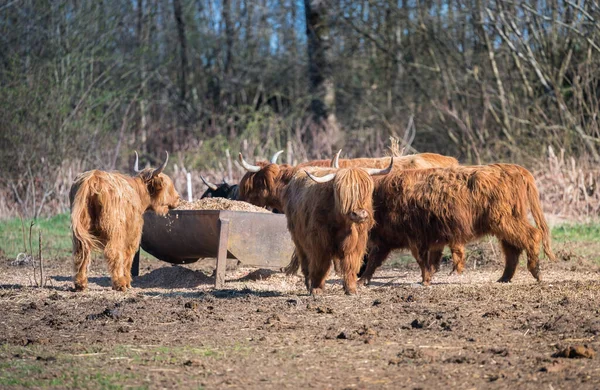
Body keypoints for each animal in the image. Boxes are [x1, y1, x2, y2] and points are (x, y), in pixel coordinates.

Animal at [69, 152, 179, 292]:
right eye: (168, 185)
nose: (178, 198)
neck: (138, 192)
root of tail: (94, 177)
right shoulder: (133, 233)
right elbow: (128, 256)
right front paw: (127, 281)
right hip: (115, 229)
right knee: (113, 252)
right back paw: (120, 283)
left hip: (82, 225)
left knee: (81, 252)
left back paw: (80, 284)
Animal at [284, 157, 396, 294]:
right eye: (343, 193)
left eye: (366, 190)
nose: (359, 214)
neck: (343, 224)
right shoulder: (319, 242)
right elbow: (319, 264)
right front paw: (316, 288)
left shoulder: (356, 241)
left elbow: (350, 263)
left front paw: (351, 288)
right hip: (298, 238)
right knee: (306, 260)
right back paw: (309, 283)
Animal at [356, 163, 556, 284]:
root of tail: (514, 168)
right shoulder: (389, 239)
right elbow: (374, 260)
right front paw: (363, 280)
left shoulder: (415, 236)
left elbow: (421, 259)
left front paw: (425, 279)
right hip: (507, 221)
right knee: (512, 248)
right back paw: (504, 278)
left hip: (504, 220)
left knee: (532, 235)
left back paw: (536, 271)